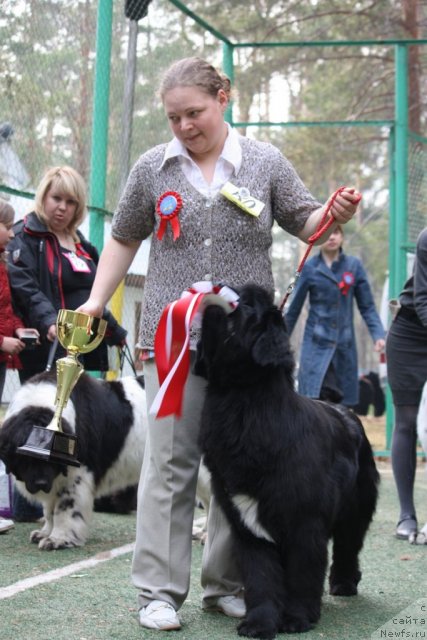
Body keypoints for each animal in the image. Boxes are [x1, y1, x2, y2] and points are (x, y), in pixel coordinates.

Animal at [0, 376, 146, 552]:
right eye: (26, 457)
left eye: (51, 457)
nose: (41, 483)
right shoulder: (54, 481)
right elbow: (49, 509)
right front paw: (45, 533)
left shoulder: (76, 477)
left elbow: (64, 509)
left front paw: (57, 539)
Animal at [196, 284, 380, 640]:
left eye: (244, 305)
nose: (214, 292)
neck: (246, 405)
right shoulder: (249, 528)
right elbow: (262, 579)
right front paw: (260, 623)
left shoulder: (304, 525)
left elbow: (302, 574)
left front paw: (296, 618)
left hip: (357, 506)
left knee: (349, 545)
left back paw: (343, 583)